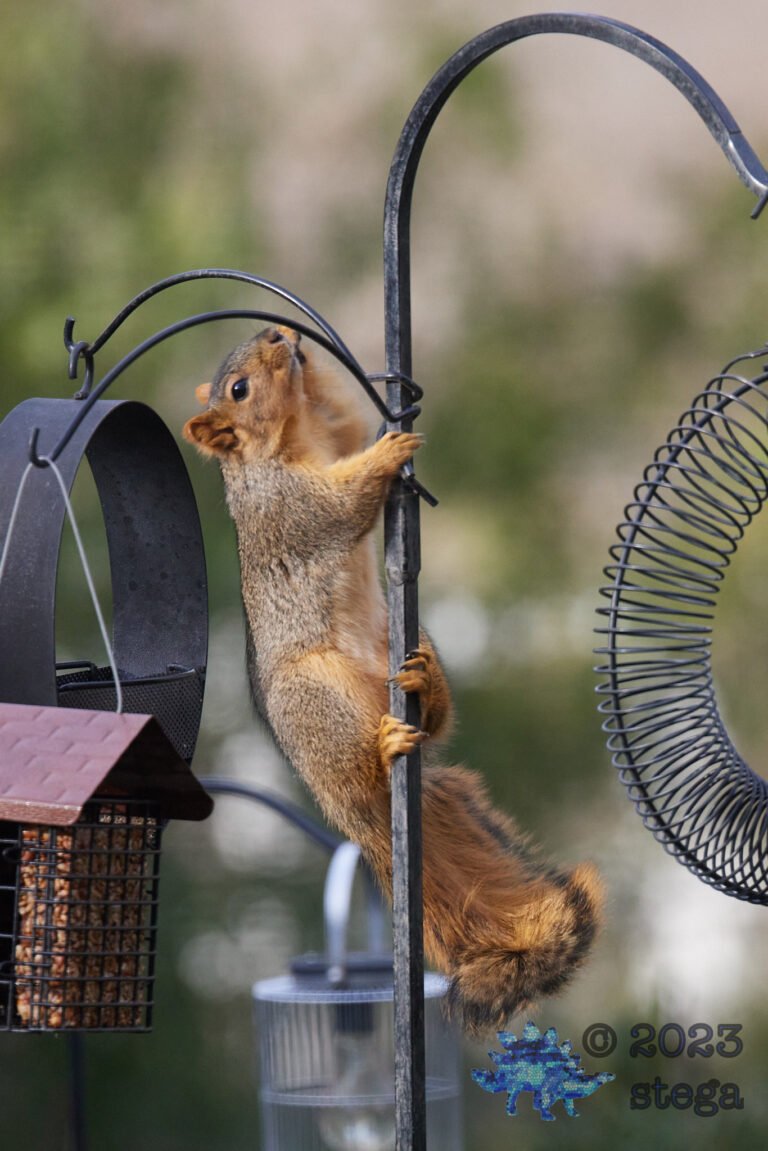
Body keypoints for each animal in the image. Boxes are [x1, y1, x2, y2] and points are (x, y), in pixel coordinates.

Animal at [183, 325, 604, 1036]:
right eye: (237, 389)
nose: (274, 335)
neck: (291, 440)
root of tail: (360, 818)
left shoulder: (331, 434)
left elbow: (349, 423)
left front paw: (353, 379)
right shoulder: (287, 505)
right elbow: (337, 505)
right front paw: (388, 451)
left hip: (403, 645)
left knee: (434, 720)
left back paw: (425, 694)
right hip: (315, 697)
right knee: (365, 768)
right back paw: (381, 751)